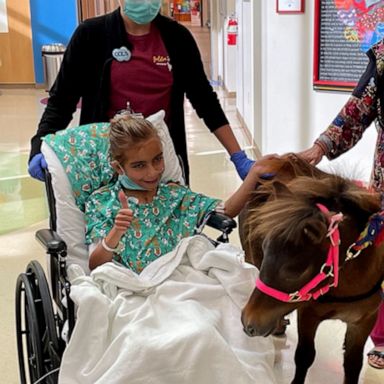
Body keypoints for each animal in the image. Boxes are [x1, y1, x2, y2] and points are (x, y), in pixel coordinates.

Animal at [240, 155, 384, 384]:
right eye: (265, 248)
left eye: (296, 271)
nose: (248, 322)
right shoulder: (308, 312)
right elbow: (305, 355)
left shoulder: (364, 320)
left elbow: (352, 364)